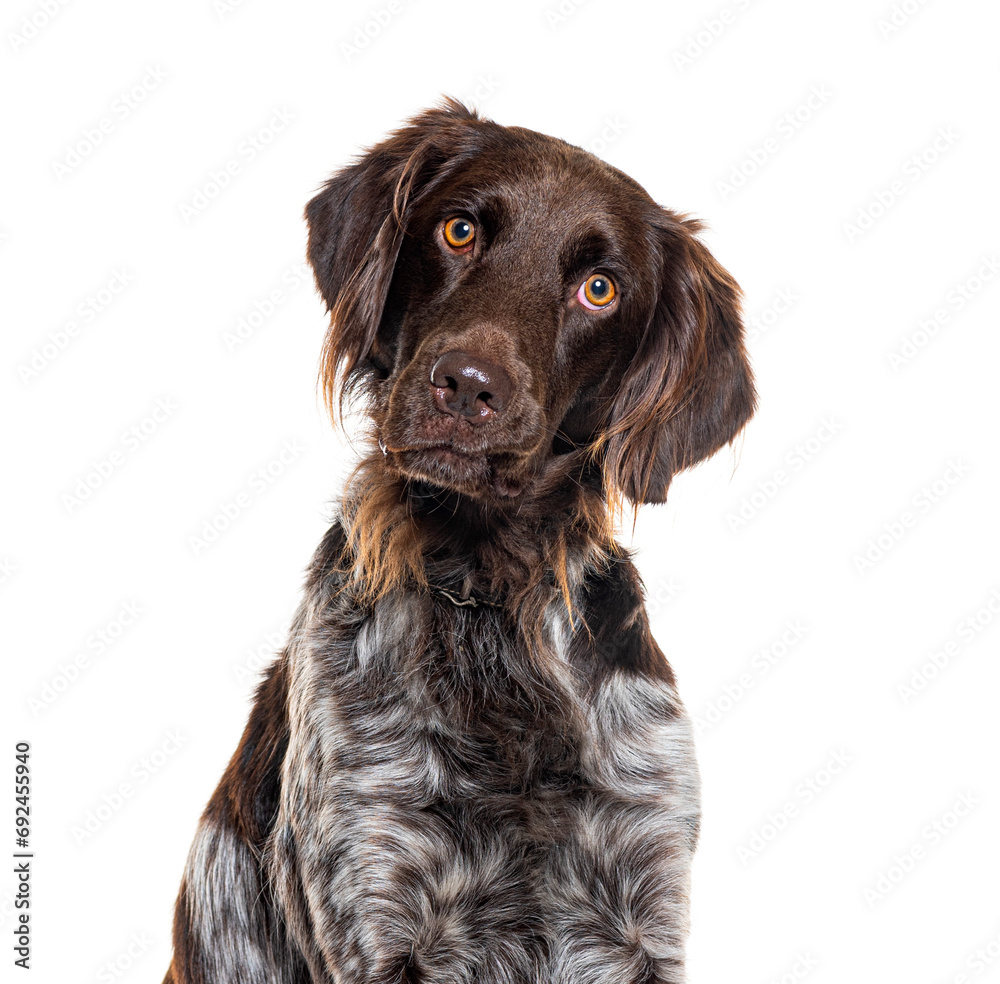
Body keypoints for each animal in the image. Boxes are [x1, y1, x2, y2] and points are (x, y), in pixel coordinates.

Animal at [164, 102, 752, 984]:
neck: (488, 593)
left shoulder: (641, 899)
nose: (469, 385)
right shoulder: (379, 902)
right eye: (460, 229)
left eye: (600, 289)